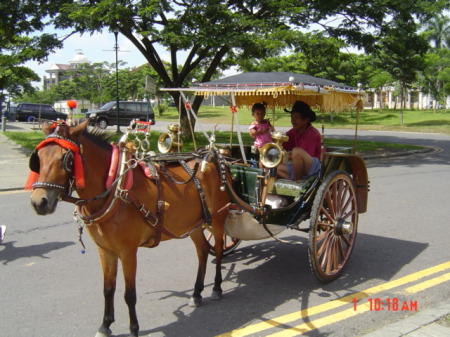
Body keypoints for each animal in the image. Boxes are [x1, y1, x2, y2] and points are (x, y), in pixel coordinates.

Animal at [27, 121, 230, 336]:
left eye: (66, 159)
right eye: (38, 158)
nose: (39, 202)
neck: (115, 191)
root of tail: (213, 157)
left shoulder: (128, 251)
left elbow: (129, 294)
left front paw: (133, 329)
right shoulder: (105, 250)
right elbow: (108, 289)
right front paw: (105, 325)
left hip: (217, 220)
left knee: (218, 250)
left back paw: (217, 287)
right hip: (194, 225)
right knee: (203, 251)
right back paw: (197, 293)